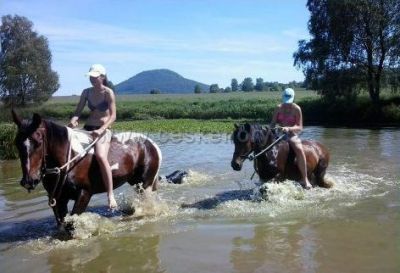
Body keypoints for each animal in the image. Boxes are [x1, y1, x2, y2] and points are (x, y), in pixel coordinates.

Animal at [12, 110, 162, 227]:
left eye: (38, 143)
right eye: (16, 143)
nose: (28, 181)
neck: (71, 159)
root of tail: (151, 144)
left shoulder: (84, 193)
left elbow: (72, 223)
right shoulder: (57, 198)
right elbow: (62, 224)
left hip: (146, 184)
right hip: (136, 183)